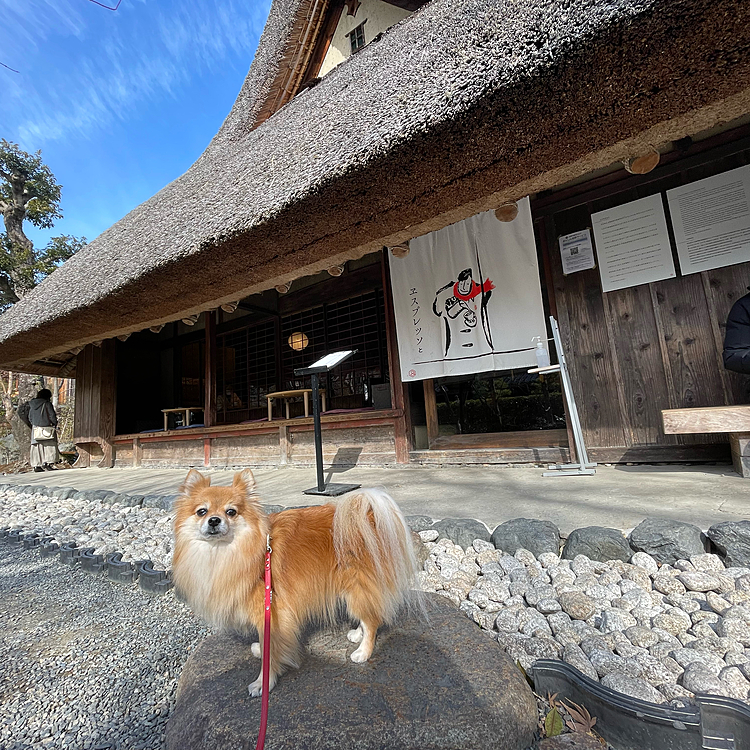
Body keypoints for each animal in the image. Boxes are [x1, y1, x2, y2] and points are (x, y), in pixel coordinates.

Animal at [171, 470, 420, 700]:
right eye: (202, 511)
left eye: (231, 512)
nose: (214, 520)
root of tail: (368, 516)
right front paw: (260, 649)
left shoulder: (271, 613)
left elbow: (272, 650)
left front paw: (263, 683)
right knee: (369, 614)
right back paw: (357, 634)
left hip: (357, 585)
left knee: (372, 620)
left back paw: (363, 652)